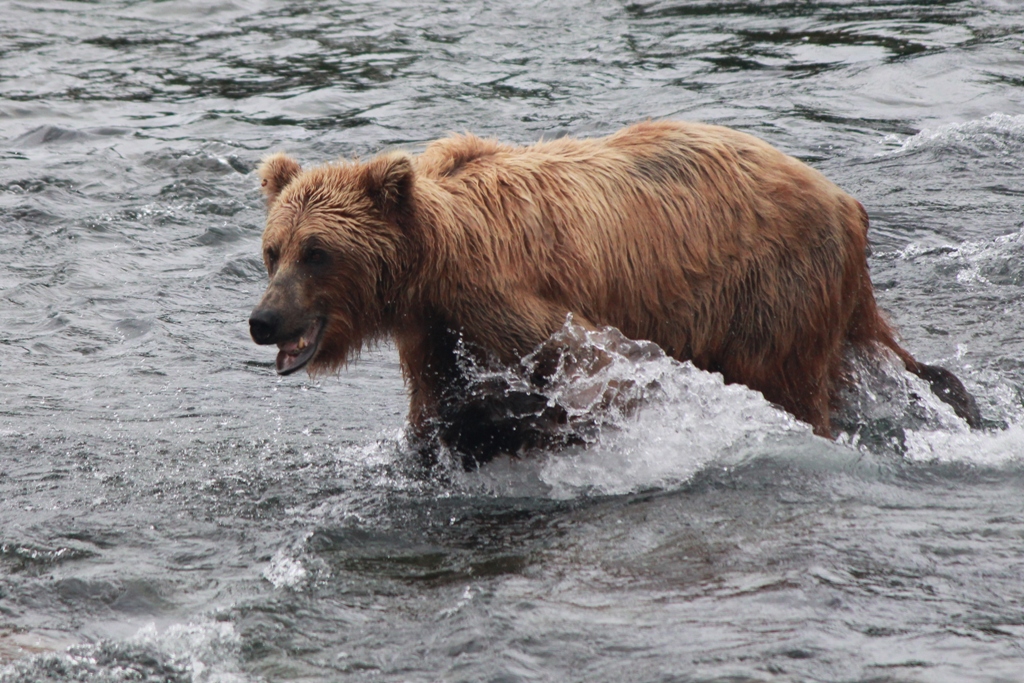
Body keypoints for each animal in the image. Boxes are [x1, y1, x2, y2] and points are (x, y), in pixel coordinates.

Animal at [249, 122, 983, 462]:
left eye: (318, 252)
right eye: (272, 250)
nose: (264, 319)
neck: (433, 265)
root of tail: (845, 202)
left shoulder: (505, 302)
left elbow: (599, 370)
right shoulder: (429, 332)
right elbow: (432, 411)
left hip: (773, 294)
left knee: (793, 386)